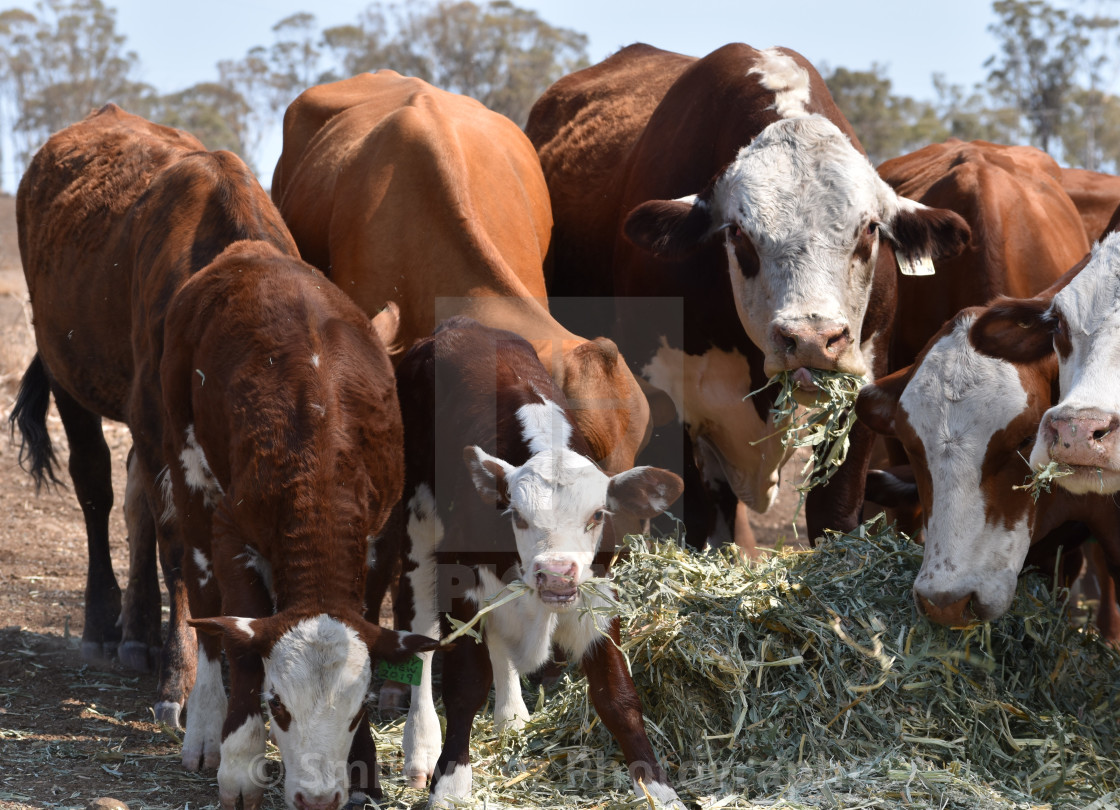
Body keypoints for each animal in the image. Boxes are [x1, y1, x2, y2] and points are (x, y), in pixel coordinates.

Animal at [159, 240, 436, 810]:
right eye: (278, 706)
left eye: (358, 711)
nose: (316, 798)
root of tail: (248, 251)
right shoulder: (232, 528)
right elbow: (241, 646)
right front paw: (241, 765)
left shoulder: (382, 535)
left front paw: (363, 767)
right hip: (188, 467)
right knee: (203, 606)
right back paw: (204, 730)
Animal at [390, 317, 685, 808]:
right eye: (518, 516)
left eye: (597, 516)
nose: (557, 575)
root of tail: (458, 325)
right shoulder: (462, 583)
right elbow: (464, 685)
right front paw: (450, 783)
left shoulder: (597, 593)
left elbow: (618, 696)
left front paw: (661, 792)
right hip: (417, 524)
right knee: (420, 631)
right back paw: (421, 747)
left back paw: (512, 716)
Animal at [525, 43, 970, 545]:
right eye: (738, 233)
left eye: (870, 228)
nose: (811, 340)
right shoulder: (663, 399)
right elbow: (692, 518)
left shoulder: (861, 387)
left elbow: (834, 511)